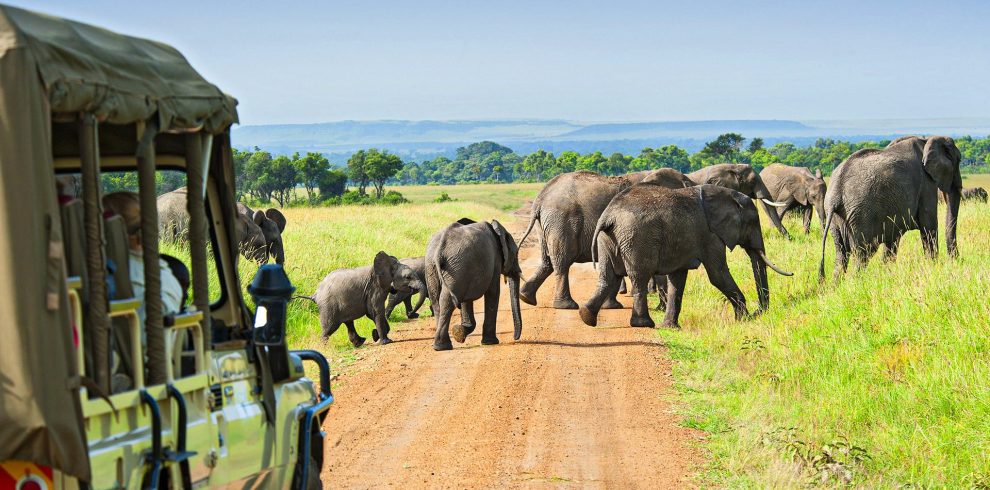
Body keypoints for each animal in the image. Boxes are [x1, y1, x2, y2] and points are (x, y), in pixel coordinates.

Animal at [426, 219, 528, 352]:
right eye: (516, 254)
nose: (515, 337)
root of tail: (440, 248)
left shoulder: (467, 271)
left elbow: (466, 300)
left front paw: (459, 333)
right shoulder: (494, 261)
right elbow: (493, 292)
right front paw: (490, 342)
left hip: (437, 267)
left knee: (437, 302)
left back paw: (441, 346)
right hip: (454, 267)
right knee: (447, 301)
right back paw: (443, 346)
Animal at [516, 170, 684, 310]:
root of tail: (540, 198)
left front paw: (611, 306)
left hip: (546, 224)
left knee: (548, 261)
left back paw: (525, 297)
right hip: (561, 221)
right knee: (562, 261)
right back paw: (566, 306)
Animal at [576, 184, 796, 330]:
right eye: (752, 223)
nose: (759, 312)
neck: (726, 195)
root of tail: (608, 216)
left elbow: (678, 279)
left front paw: (671, 328)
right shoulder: (710, 236)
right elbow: (717, 274)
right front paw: (743, 320)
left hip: (608, 239)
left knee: (608, 276)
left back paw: (586, 317)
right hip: (637, 238)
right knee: (639, 277)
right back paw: (644, 324)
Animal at [816, 135, 964, 280]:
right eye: (958, 160)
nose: (956, 259)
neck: (926, 139)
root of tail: (835, 193)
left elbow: (892, 241)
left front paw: (887, 273)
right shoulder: (926, 184)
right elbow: (929, 226)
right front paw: (932, 267)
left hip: (837, 219)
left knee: (841, 255)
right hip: (860, 216)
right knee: (863, 254)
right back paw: (856, 282)